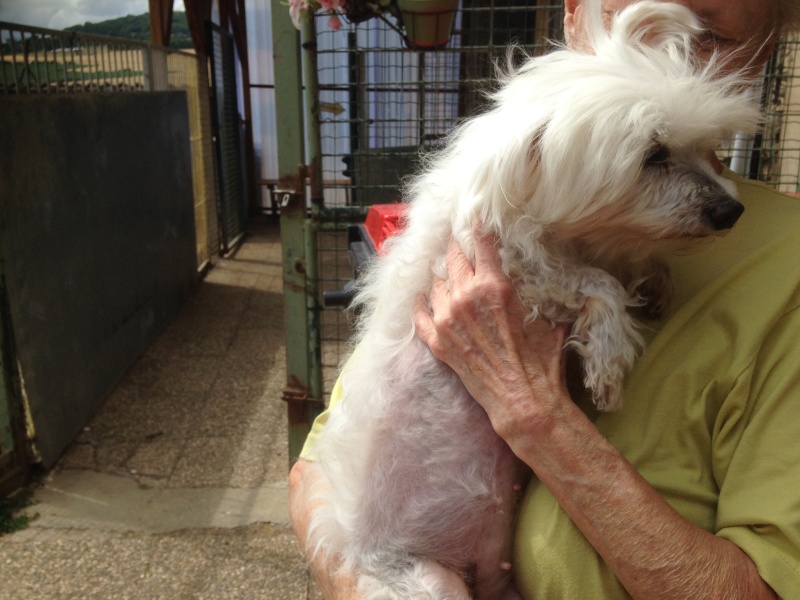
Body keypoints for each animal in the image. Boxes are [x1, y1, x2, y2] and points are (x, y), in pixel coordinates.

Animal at [304, 2, 760, 596]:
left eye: (708, 149)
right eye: (653, 154)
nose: (730, 211)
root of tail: (357, 554)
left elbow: (625, 264)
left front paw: (654, 282)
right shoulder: (519, 270)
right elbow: (598, 282)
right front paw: (609, 360)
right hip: (426, 580)